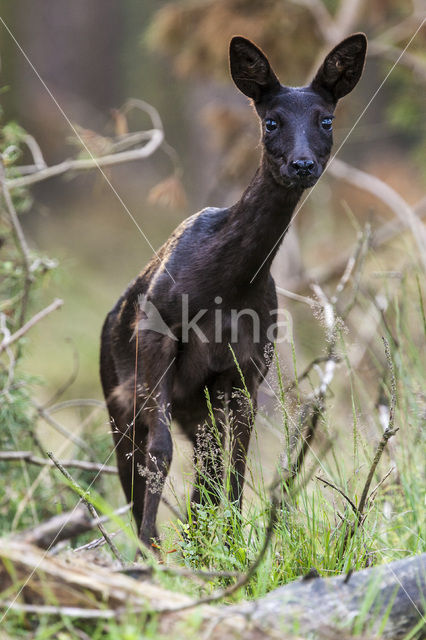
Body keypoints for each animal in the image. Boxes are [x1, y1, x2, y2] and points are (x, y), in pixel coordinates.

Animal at [100, 31, 366, 552]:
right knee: (133, 471)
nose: (302, 164)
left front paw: (231, 546)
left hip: (198, 408)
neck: (227, 288)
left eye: (326, 119)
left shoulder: (247, 366)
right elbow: (159, 453)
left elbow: (237, 465)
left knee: (207, 471)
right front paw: (155, 552)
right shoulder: (157, 339)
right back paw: (149, 543)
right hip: (117, 398)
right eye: (271, 120)